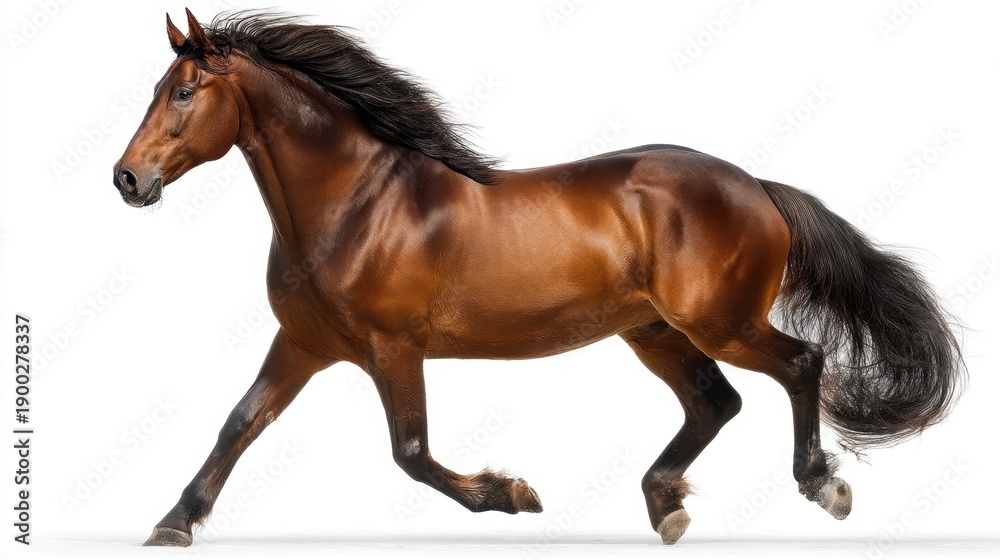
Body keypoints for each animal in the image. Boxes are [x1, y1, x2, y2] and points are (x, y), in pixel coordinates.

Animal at [113, 10, 964, 547]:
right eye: (155, 90)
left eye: (184, 91)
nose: (126, 179)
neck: (355, 205)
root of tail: (756, 186)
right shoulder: (304, 342)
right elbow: (239, 423)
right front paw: (172, 524)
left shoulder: (394, 348)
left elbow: (411, 452)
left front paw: (512, 494)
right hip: (652, 331)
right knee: (715, 401)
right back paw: (665, 506)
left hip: (719, 321)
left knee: (800, 364)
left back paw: (822, 485)